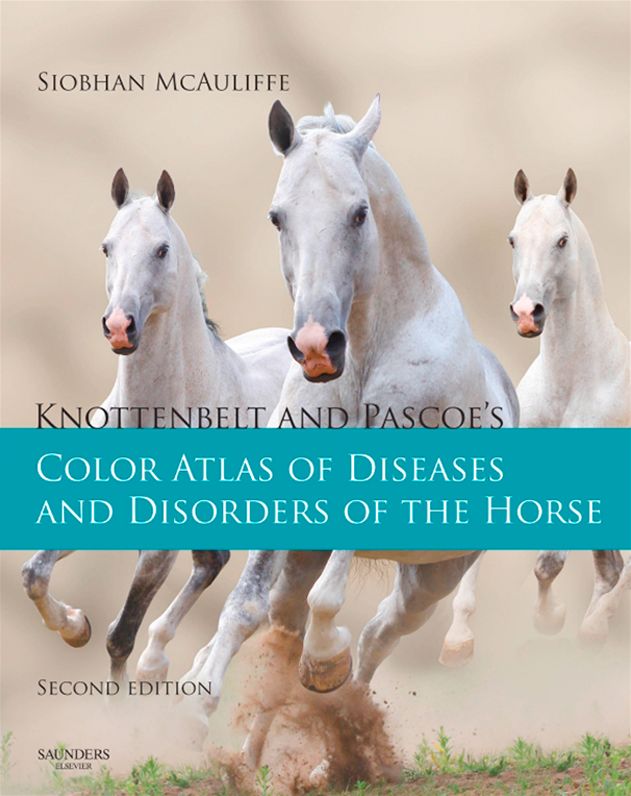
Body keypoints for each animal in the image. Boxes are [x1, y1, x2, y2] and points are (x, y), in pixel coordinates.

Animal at [22, 169, 292, 684]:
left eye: (162, 249)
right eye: (106, 247)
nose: (119, 327)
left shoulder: (159, 548)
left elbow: (119, 636)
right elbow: (34, 574)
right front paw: (75, 627)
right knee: (213, 563)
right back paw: (160, 662)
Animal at [181, 98, 518, 771]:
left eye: (359, 212)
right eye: (277, 216)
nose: (316, 348)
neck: (368, 353)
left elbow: (328, 607)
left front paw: (323, 663)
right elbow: (246, 609)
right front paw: (198, 704)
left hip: (432, 579)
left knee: (375, 637)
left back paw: (343, 740)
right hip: (309, 559)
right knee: (287, 630)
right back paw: (255, 757)